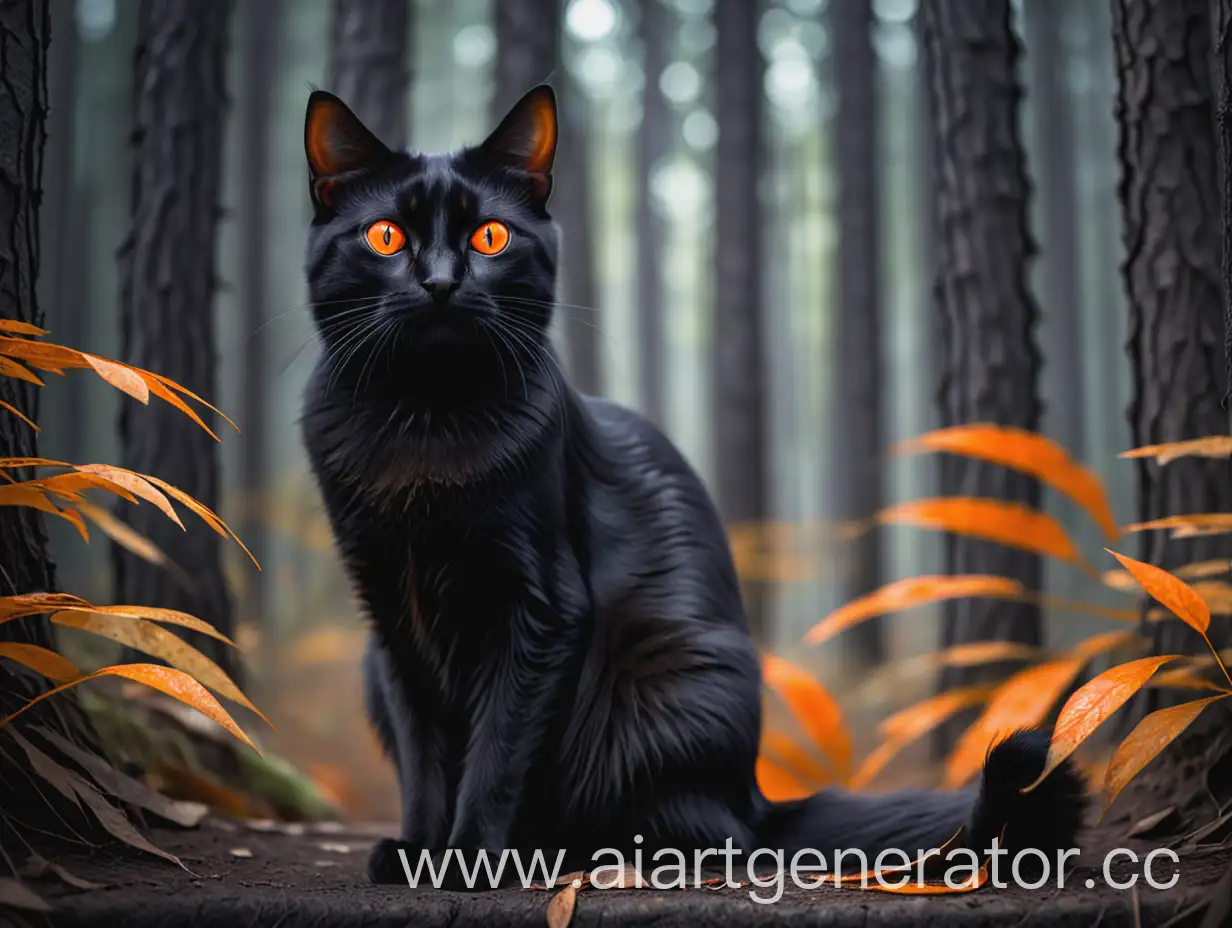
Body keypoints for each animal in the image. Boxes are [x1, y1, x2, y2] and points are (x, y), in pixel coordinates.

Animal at [300, 86, 1089, 892]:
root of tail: (757, 799)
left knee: (705, 837)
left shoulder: (541, 610)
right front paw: (419, 851)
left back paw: (567, 853)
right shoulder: (393, 621)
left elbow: (496, 752)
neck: (425, 428)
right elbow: (425, 755)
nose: (440, 281)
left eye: (490, 237)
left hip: (668, 682)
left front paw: (467, 861)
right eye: (387, 237)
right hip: (382, 666)